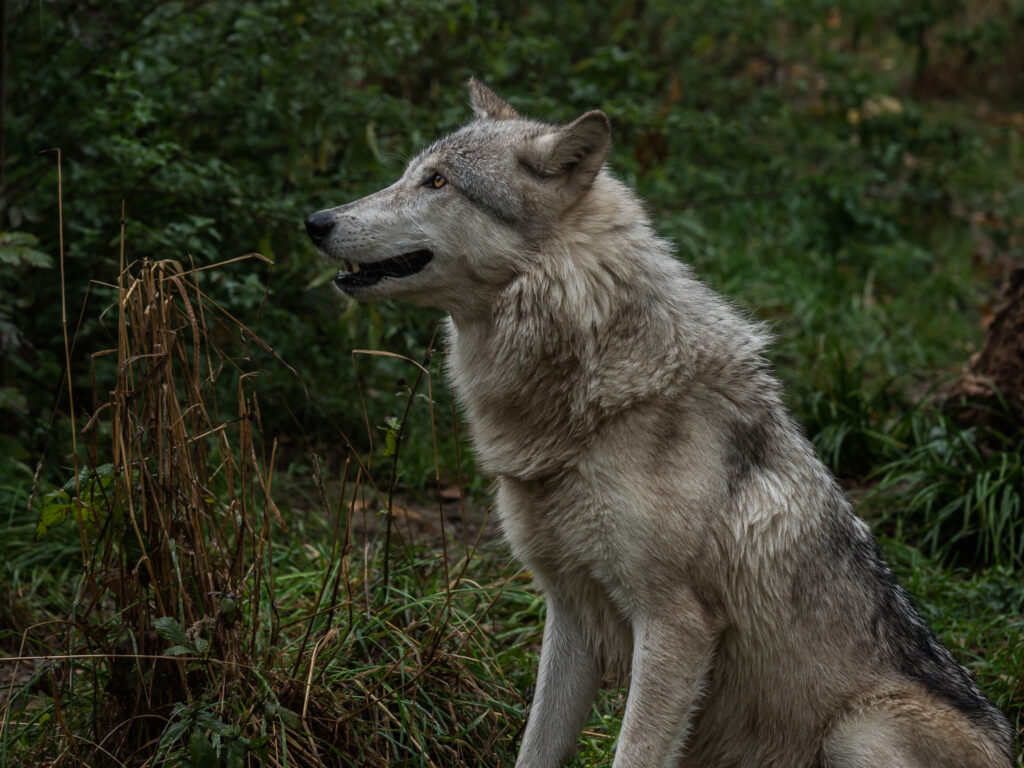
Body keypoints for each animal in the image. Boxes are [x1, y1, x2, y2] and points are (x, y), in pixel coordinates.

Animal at [305, 79, 1015, 767]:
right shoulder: (569, 614)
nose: (316, 221)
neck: (585, 395)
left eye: (438, 183)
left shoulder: (675, 623)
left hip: (858, 731)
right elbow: (535, 748)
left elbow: (634, 752)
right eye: (408, 174)